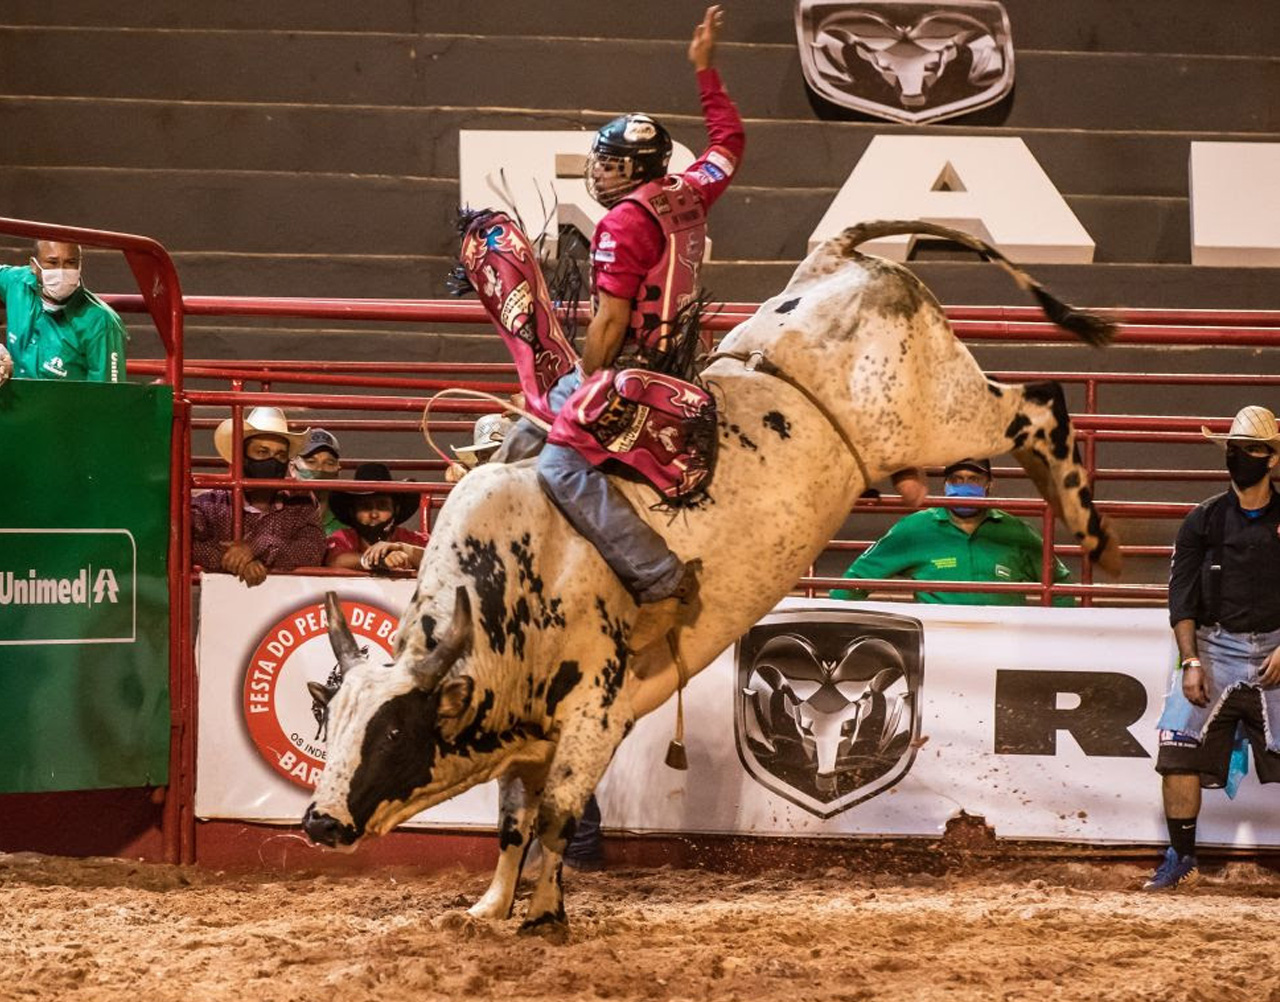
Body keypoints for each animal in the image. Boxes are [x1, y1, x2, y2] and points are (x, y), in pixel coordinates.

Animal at [302, 220, 1121, 931]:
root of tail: (838, 260)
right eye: (331, 720)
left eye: (391, 733)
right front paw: (489, 909)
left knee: (1040, 402)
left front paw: (543, 917)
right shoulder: (526, 732)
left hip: (942, 414)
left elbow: (557, 816)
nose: (318, 822)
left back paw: (1094, 530)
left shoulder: (596, 713)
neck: (513, 580)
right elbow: (513, 825)